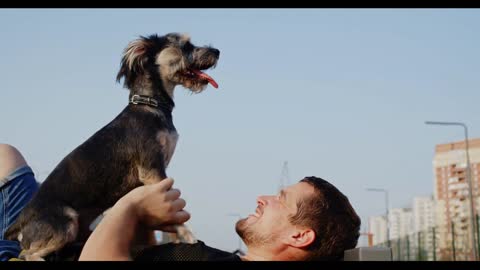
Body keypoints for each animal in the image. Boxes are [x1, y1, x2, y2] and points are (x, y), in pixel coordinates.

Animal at [6, 32, 219, 260]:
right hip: (66, 222)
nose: (217, 52)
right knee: (25, 254)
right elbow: (177, 214)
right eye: (185, 45)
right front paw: (187, 235)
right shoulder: (152, 168)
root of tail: (20, 223)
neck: (150, 104)